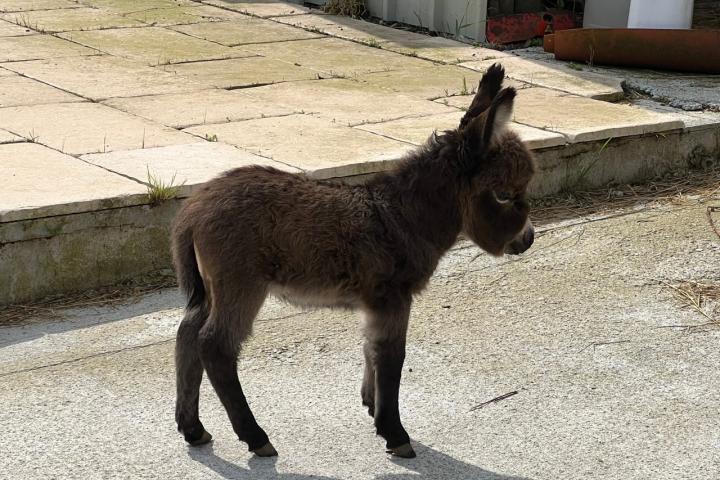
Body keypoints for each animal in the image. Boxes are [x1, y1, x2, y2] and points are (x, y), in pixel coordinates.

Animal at [173, 63, 536, 458]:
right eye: (504, 195)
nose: (528, 239)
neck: (406, 215)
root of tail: (194, 209)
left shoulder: (376, 302)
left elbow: (370, 349)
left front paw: (372, 406)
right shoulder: (393, 297)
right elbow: (391, 358)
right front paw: (394, 432)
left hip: (212, 287)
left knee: (187, 336)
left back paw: (193, 429)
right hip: (241, 285)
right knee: (215, 346)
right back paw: (255, 436)